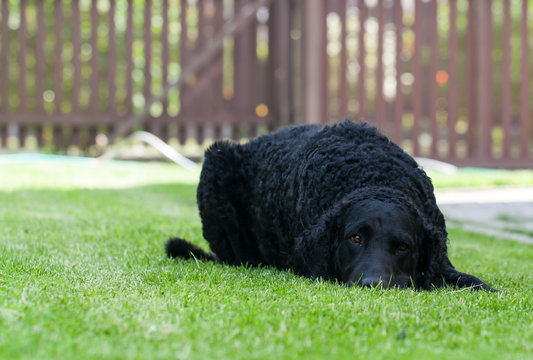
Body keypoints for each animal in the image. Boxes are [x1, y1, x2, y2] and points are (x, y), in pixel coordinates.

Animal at [165, 122, 494, 292]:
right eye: (355, 238)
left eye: (403, 247)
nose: (372, 284)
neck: (374, 177)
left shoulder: (443, 262)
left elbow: (473, 282)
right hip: (215, 160)